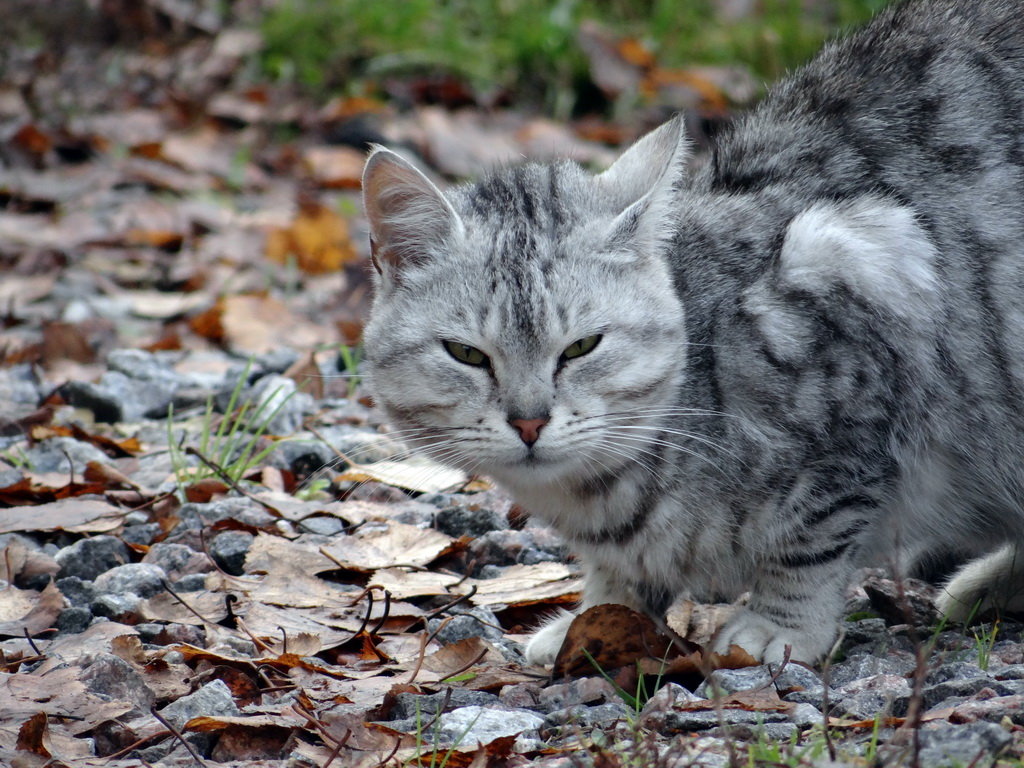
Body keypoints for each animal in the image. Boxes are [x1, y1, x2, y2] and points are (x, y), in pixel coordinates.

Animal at [358, 0, 1024, 667]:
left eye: (581, 347)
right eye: (466, 354)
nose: (528, 422)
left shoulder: (864, 288)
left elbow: (815, 535)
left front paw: (781, 625)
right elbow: (622, 579)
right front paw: (598, 616)